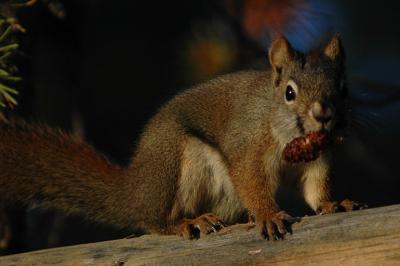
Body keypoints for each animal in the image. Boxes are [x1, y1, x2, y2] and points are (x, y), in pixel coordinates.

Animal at [0, 34, 364, 240]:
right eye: (290, 93)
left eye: (344, 89)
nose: (324, 114)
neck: (289, 136)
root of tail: (134, 190)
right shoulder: (246, 146)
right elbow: (251, 181)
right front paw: (268, 216)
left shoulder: (317, 160)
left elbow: (316, 189)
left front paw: (333, 204)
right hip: (180, 162)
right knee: (154, 221)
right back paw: (187, 224)